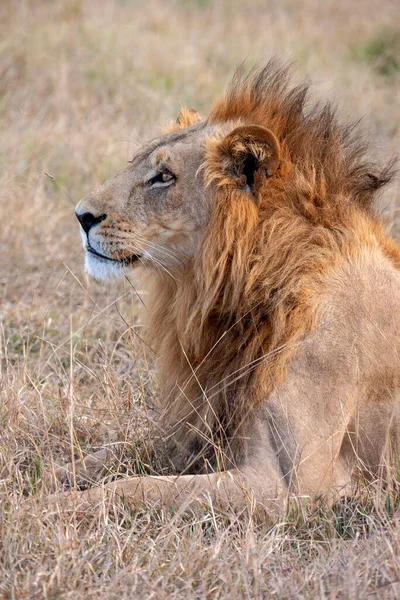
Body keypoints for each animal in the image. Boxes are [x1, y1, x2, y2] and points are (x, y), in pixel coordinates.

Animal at [62, 61, 400, 520]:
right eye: (137, 165)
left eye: (163, 177)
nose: (81, 216)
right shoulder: (195, 426)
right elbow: (111, 454)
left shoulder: (292, 486)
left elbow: (136, 488)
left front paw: (55, 506)